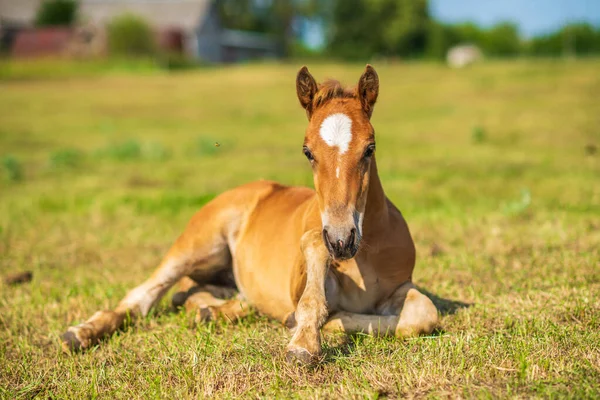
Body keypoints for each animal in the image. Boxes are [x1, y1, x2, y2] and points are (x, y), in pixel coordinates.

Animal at [62, 64, 436, 364]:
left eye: (369, 148)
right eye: (307, 152)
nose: (342, 240)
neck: (362, 257)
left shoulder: (400, 286)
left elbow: (425, 314)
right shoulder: (298, 279)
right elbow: (311, 281)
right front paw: (304, 340)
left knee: (194, 294)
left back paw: (211, 311)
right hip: (196, 245)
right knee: (142, 297)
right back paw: (79, 334)